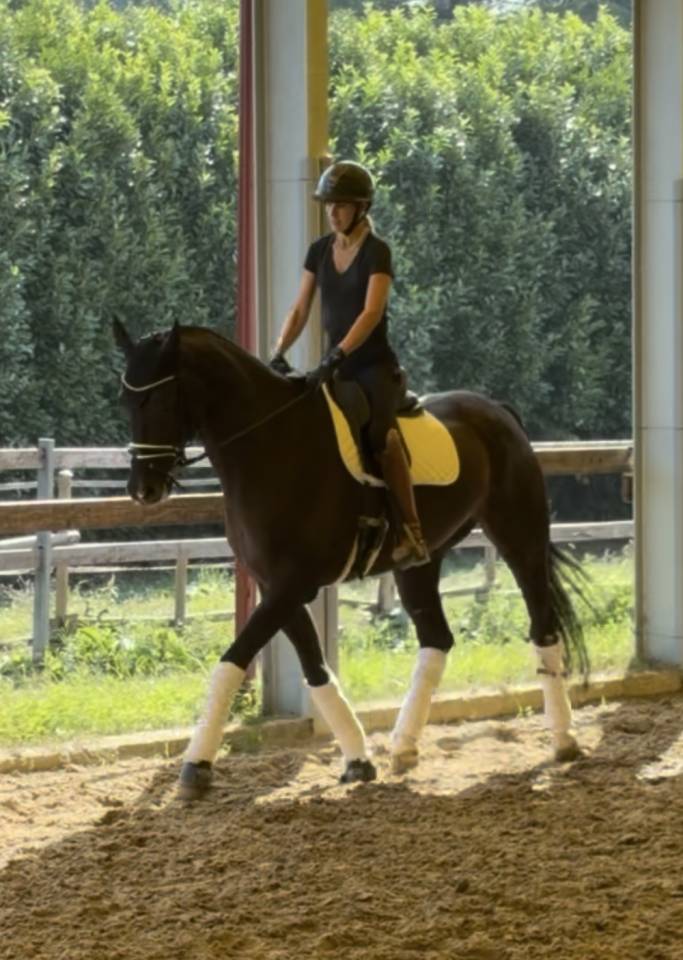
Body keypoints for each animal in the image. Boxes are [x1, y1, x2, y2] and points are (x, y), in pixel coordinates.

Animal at [113, 319, 589, 801]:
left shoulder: (291, 584)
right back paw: (403, 747)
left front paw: (195, 766)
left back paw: (564, 740)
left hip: (519, 537)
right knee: (436, 640)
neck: (271, 446)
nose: (142, 489)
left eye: (158, 397)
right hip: (419, 563)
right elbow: (314, 667)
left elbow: (232, 661)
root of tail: (497, 411)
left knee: (542, 627)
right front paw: (359, 760)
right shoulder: (276, 585)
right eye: (126, 400)